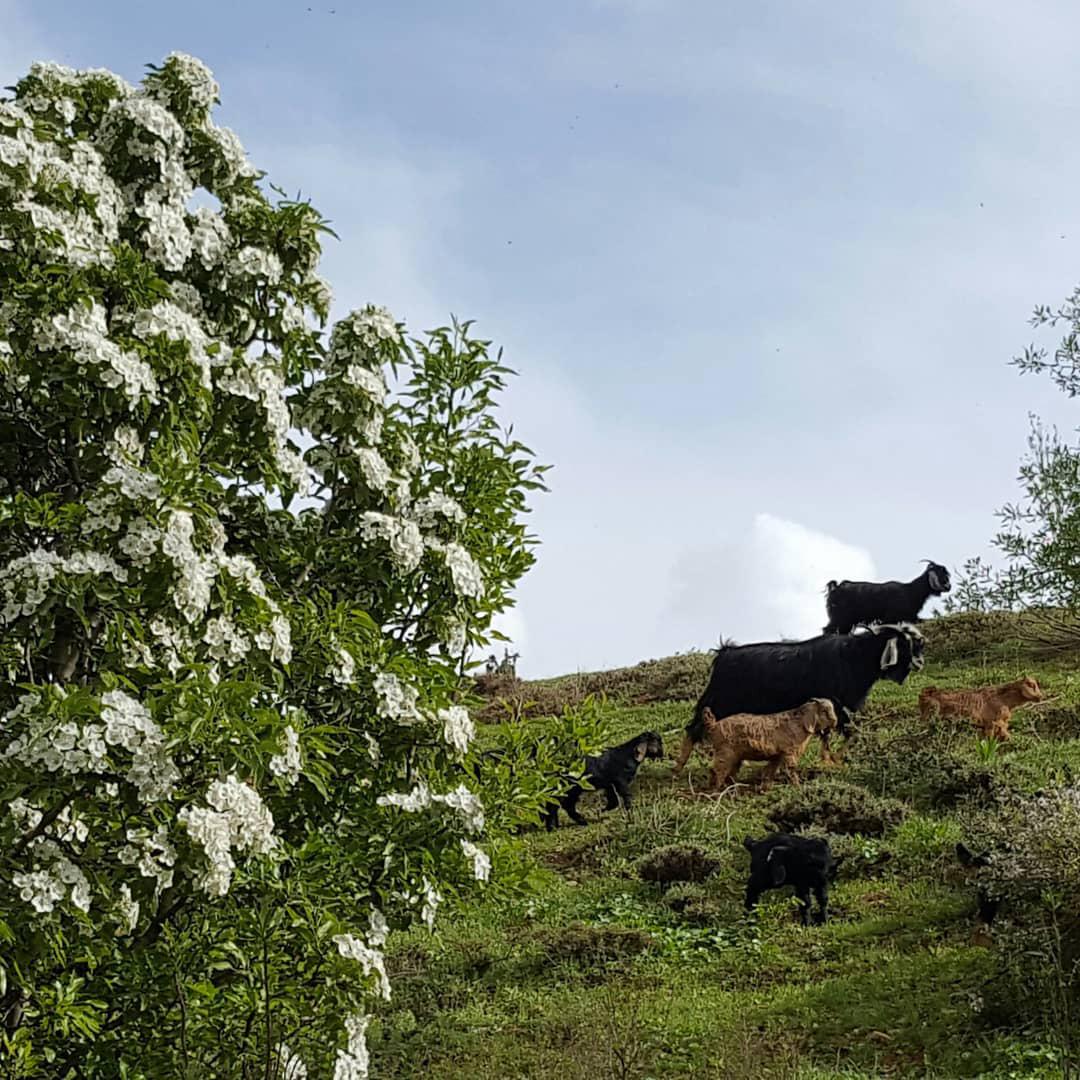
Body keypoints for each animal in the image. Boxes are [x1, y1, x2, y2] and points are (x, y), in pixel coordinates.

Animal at [669, 617, 924, 777]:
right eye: (905, 645)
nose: (920, 663)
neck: (855, 657)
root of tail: (724, 654)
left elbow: (835, 736)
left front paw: (830, 760)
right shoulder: (838, 706)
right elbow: (848, 734)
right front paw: (835, 761)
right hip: (719, 701)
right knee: (693, 728)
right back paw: (678, 769)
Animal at [695, 695, 838, 790]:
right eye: (824, 711)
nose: (835, 721)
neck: (800, 722)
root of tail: (714, 725)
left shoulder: (778, 755)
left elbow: (770, 771)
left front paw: (765, 789)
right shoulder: (789, 752)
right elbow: (790, 769)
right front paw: (797, 787)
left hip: (734, 756)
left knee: (729, 772)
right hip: (725, 753)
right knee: (717, 770)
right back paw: (715, 791)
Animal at [820, 561, 950, 635]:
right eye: (941, 574)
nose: (949, 586)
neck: (910, 591)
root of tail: (835, 588)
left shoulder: (909, 617)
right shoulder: (892, 617)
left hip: (845, 622)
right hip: (839, 618)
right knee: (827, 630)